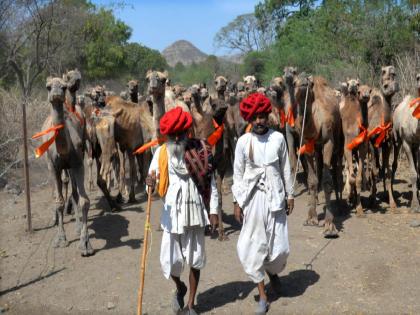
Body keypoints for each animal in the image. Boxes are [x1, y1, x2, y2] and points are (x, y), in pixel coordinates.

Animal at [36, 78, 92, 256]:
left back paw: (78, 225)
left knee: (73, 191)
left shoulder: (77, 163)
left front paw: (85, 243)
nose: (56, 94)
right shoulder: (53, 167)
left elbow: (83, 200)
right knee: (61, 188)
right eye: (48, 87)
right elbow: (59, 201)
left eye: (64, 86)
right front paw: (60, 239)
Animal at [294, 74, 342, 237]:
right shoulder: (307, 142)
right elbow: (312, 180)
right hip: (317, 148)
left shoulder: (328, 141)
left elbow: (327, 181)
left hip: (338, 141)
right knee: (319, 167)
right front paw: (311, 218)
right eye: (293, 82)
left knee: (337, 169)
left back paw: (339, 205)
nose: (303, 80)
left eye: (309, 83)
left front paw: (329, 225)